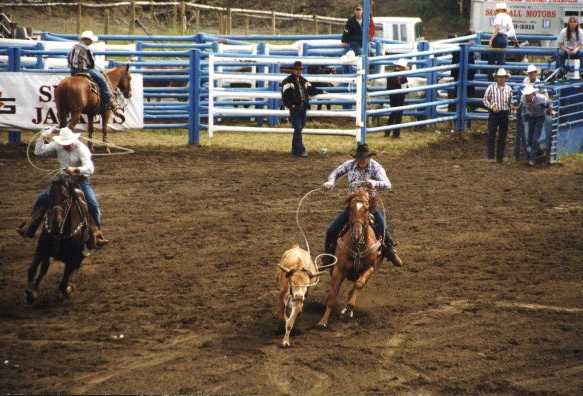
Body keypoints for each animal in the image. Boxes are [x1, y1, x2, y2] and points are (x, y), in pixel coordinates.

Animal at [25, 174, 90, 304]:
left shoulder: (73, 258)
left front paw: (69, 289)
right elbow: (32, 269)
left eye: (65, 199)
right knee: (43, 269)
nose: (56, 224)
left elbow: (63, 283)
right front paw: (31, 292)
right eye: (50, 197)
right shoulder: (41, 249)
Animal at [318, 189, 386, 328]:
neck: (357, 246)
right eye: (350, 208)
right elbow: (333, 294)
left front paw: (349, 306)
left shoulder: (370, 268)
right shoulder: (338, 270)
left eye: (366, 209)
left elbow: (359, 284)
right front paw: (323, 321)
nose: (356, 234)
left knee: (356, 286)